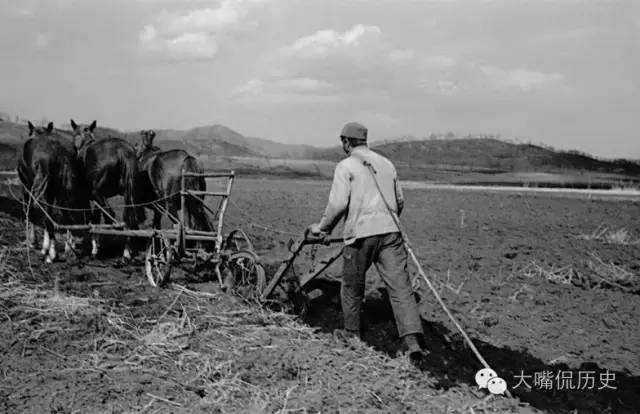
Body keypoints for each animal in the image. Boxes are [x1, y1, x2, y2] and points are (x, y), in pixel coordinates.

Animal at [17, 121, 90, 262]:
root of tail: (59, 151)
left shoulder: (27, 188)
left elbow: (31, 213)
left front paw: (33, 242)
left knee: (47, 217)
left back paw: (52, 253)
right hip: (68, 189)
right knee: (67, 216)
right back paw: (67, 248)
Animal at [71, 118, 144, 260]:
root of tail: (121, 151)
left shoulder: (90, 197)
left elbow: (92, 219)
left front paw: (92, 247)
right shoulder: (97, 200)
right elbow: (95, 218)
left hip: (97, 193)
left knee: (110, 216)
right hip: (128, 193)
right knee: (128, 218)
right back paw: (126, 252)